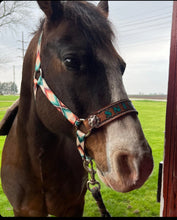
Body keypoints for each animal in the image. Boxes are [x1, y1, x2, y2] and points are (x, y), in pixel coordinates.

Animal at [0, 0, 153, 217]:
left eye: (122, 67)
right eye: (71, 61)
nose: (138, 162)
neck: (39, 162)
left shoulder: (73, 207)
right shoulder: (23, 210)